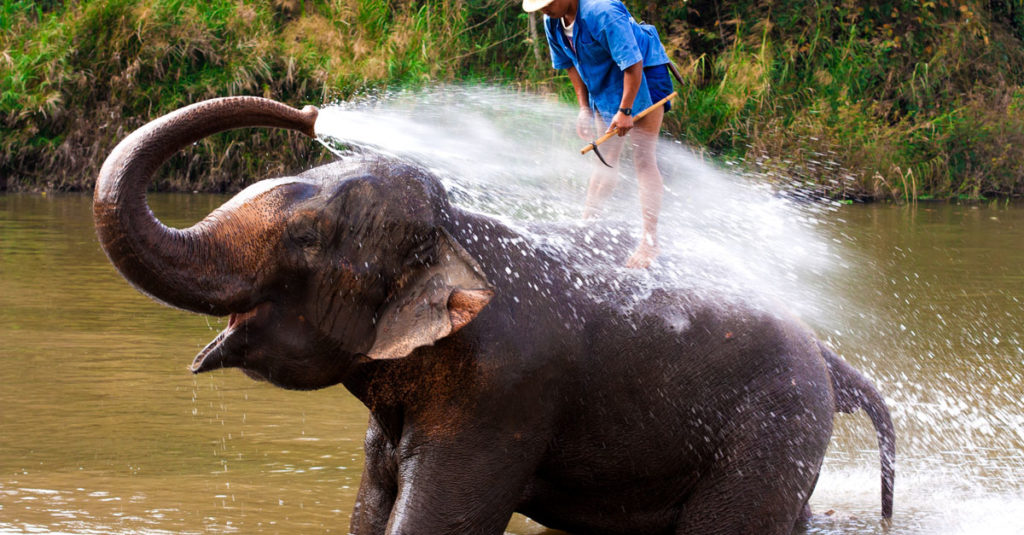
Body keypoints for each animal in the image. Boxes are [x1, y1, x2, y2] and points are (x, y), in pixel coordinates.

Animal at [94, 96, 894, 535]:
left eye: (308, 239)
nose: (309, 109)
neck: (458, 235)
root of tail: (829, 357)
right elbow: (367, 508)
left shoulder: (502, 388)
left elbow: (438, 521)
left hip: (772, 428)